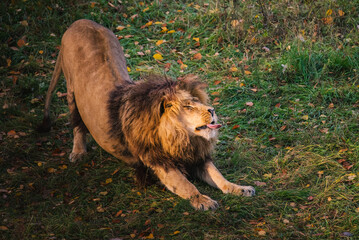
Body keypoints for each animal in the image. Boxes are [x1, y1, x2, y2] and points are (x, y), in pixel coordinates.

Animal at [39, 19, 256, 210]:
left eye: (199, 102)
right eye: (188, 106)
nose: (212, 110)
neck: (180, 137)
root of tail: (80, 21)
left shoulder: (195, 156)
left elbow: (218, 176)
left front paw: (240, 189)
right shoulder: (158, 160)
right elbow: (186, 185)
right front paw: (202, 200)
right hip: (71, 89)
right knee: (76, 124)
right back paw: (78, 152)